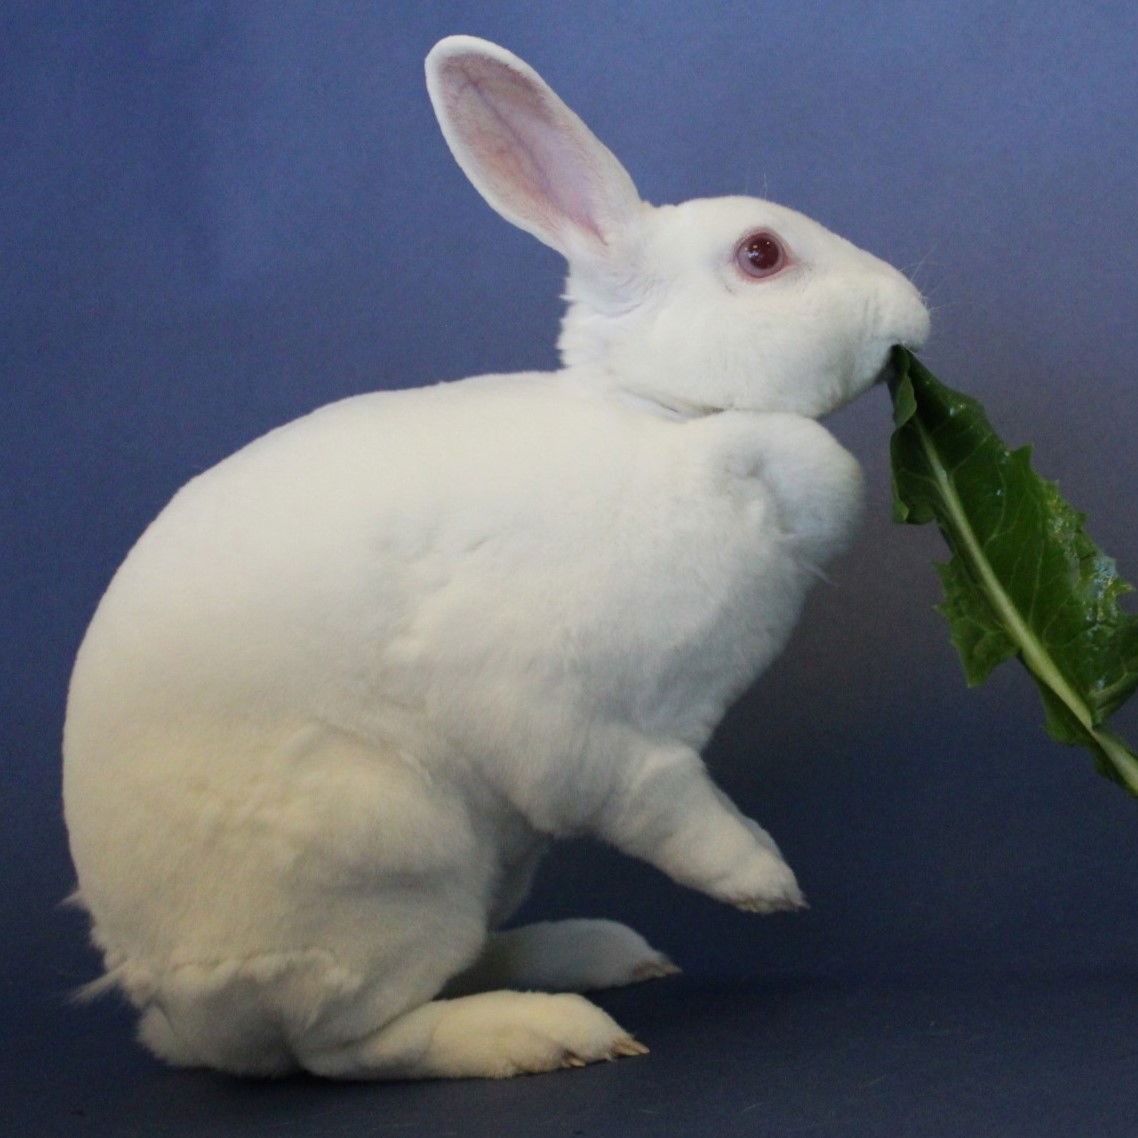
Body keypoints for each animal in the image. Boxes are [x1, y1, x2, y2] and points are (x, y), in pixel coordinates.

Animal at [64, 35, 924, 1074]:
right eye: (762, 255)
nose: (912, 312)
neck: (665, 420)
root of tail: (174, 1013)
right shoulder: (577, 726)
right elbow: (663, 804)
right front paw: (762, 879)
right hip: (391, 860)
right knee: (349, 1044)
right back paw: (541, 1030)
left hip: (485, 863)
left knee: (453, 961)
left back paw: (594, 953)